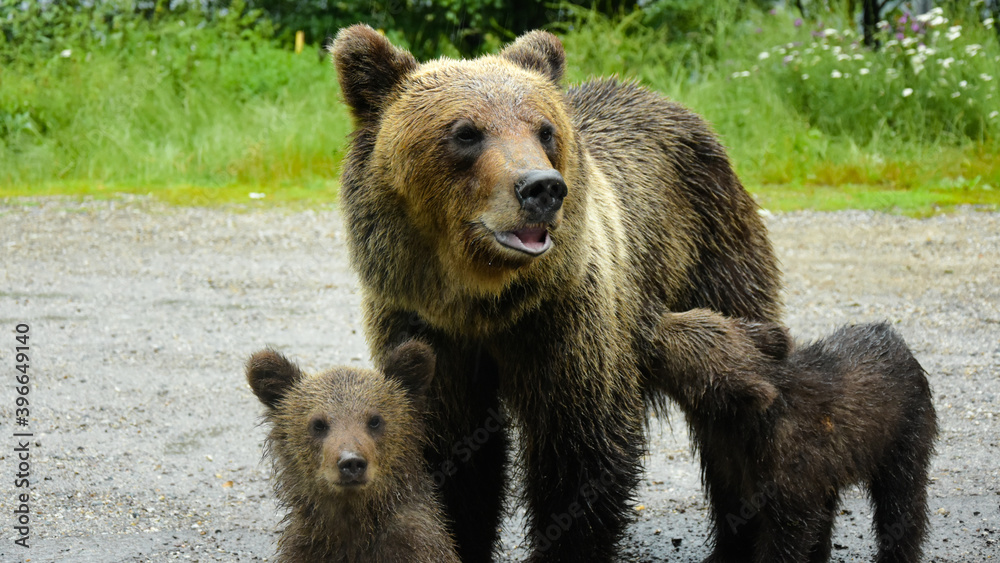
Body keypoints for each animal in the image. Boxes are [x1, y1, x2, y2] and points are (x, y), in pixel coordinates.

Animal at [331, 25, 783, 562]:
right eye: (466, 132)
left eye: (544, 130)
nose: (542, 188)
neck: (483, 301)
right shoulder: (424, 328)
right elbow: (451, 450)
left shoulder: (565, 320)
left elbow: (579, 449)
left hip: (712, 259)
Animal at [649, 311, 937, 563]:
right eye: (688, 313)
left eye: (665, 345)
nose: (655, 318)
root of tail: (897, 340)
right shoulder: (727, 469)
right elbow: (732, 520)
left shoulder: (788, 476)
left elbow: (787, 536)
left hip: (901, 438)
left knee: (901, 503)